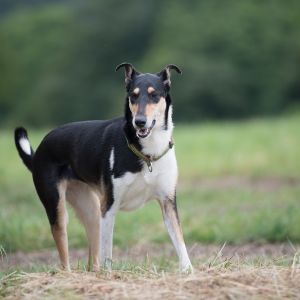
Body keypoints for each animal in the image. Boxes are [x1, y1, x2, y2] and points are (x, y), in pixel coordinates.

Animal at [14, 62, 193, 274]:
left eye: (154, 95)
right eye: (133, 95)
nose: (139, 121)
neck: (147, 152)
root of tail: (40, 150)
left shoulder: (168, 202)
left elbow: (180, 241)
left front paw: (189, 271)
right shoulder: (109, 206)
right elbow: (108, 250)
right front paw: (110, 275)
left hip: (92, 212)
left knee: (93, 259)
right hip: (59, 210)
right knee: (65, 255)